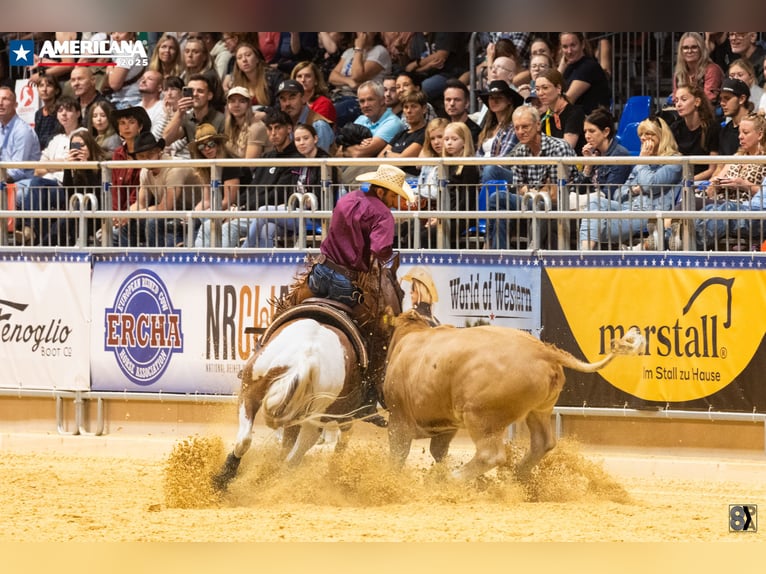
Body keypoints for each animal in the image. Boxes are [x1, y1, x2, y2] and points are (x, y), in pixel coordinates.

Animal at [212, 254, 404, 491]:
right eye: (400, 292)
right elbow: (343, 439)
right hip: (313, 422)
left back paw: (224, 480)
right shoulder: (345, 414)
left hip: (251, 389)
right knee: (290, 460)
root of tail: (305, 359)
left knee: (246, 440)